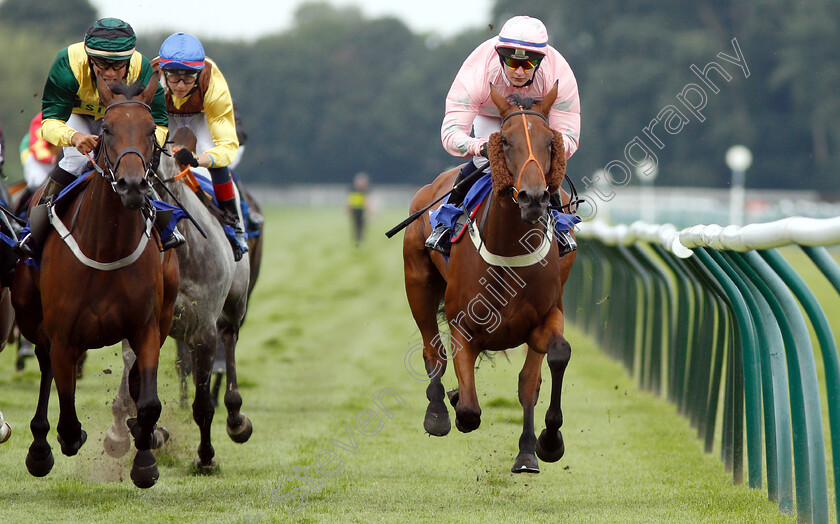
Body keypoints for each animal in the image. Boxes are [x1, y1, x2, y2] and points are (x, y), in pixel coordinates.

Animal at [10, 72, 181, 488]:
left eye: (151, 129)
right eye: (106, 129)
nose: (133, 185)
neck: (106, 245)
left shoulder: (147, 325)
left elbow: (148, 400)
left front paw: (144, 460)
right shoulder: (63, 336)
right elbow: (69, 416)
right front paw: (57, 443)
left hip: (166, 311)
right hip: (31, 315)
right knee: (44, 366)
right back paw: (39, 448)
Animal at [104, 126, 253, 470]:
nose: (128, 190)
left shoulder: (204, 331)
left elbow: (203, 404)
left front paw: (206, 456)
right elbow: (133, 378)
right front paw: (128, 431)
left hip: (233, 309)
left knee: (230, 343)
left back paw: (236, 419)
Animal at [402, 84, 576, 472]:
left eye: (550, 142)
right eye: (506, 141)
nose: (533, 198)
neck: (509, 251)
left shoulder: (545, 318)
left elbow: (546, 366)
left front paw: (544, 444)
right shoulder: (462, 326)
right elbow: (468, 409)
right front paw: (453, 403)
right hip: (417, 281)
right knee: (432, 350)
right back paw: (437, 411)